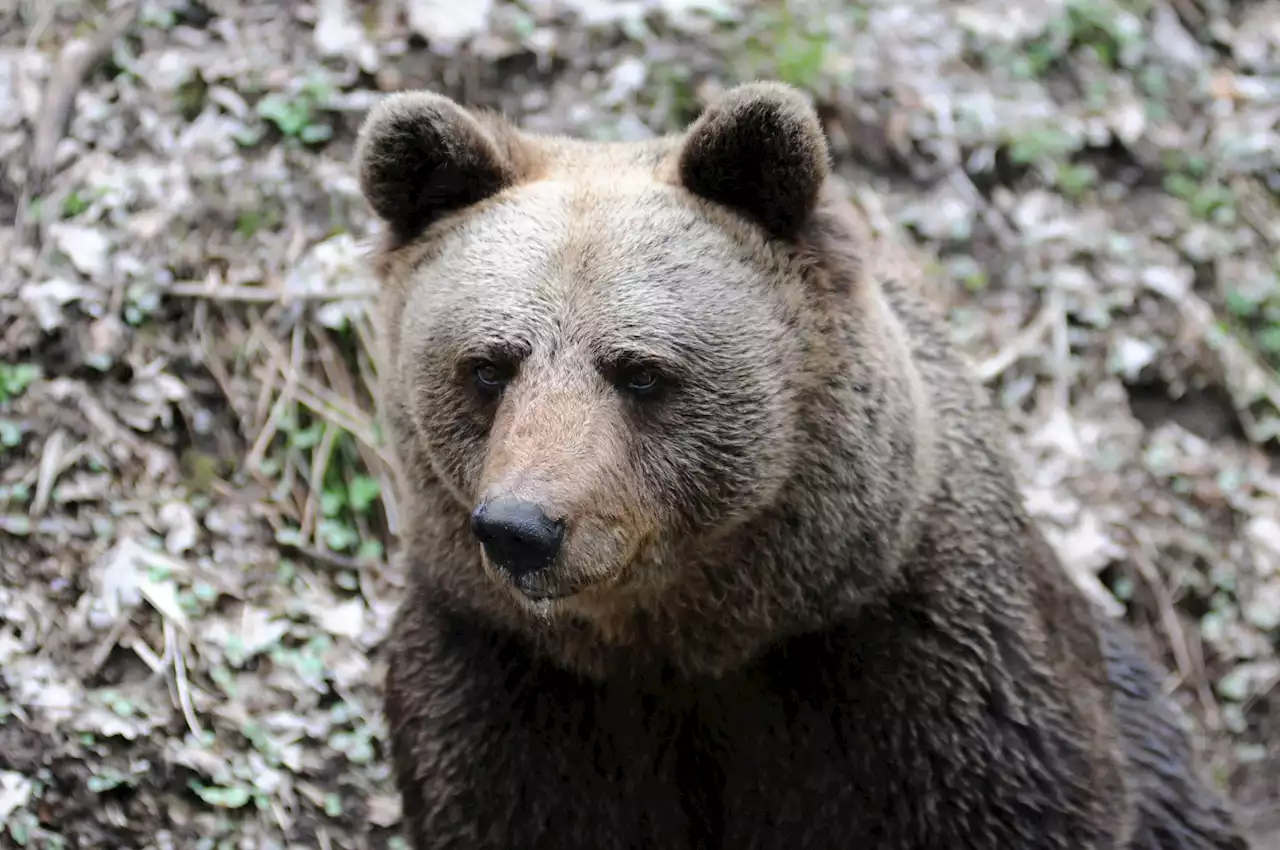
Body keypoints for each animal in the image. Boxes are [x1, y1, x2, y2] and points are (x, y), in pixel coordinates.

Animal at [353, 81, 1249, 850]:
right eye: (488, 366)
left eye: (639, 371)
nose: (522, 528)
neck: (692, 639)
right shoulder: (512, 683)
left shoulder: (923, 679)